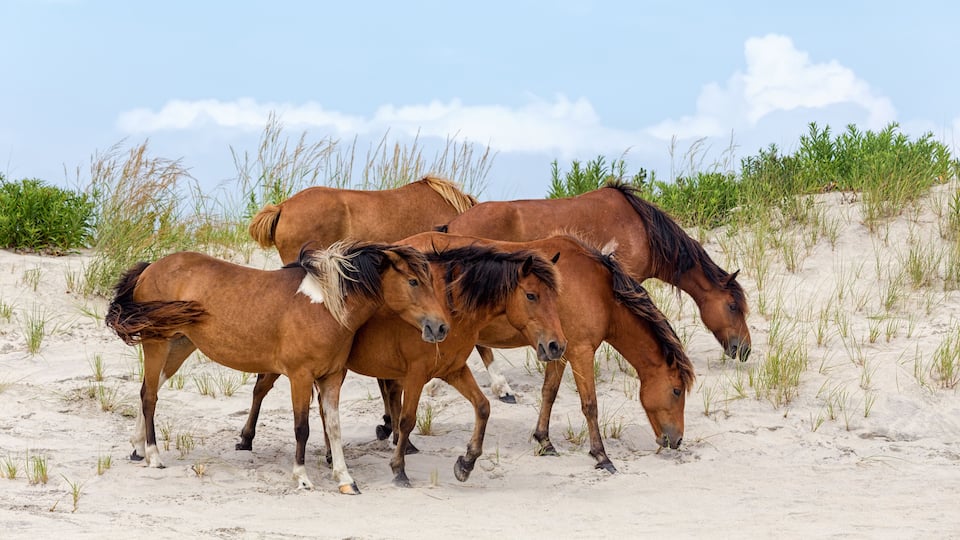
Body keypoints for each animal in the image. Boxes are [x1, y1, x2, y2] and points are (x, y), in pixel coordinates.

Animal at [105, 241, 449, 494]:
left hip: (179, 345)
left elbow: (333, 428)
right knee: (150, 396)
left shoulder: (332, 378)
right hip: (157, 343)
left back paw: (137, 448)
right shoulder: (300, 376)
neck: (324, 307)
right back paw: (153, 456)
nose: (440, 327)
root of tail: (151, 267)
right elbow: (302, 428)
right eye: (413, 281)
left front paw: (345, 480)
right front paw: (302, 477)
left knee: (147, 390)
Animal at [236, 233, 567, 487]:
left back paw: (332, 455)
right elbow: (408, 419)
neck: (450, 307)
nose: (556, 345)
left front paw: (466, 463)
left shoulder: (454, 370)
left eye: (556, 297)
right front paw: (399, 469)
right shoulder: (417, 373)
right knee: (261, 388)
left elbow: (483, 407)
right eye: (532, 296)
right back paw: (246, 439)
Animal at [378, 234, 695, 473]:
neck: (598, 289)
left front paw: (544, 441)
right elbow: (590, 405)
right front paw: (601, 456)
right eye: (677, 391)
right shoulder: (581, 352)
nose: (677, 440)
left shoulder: (559, 350)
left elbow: (549, 393)